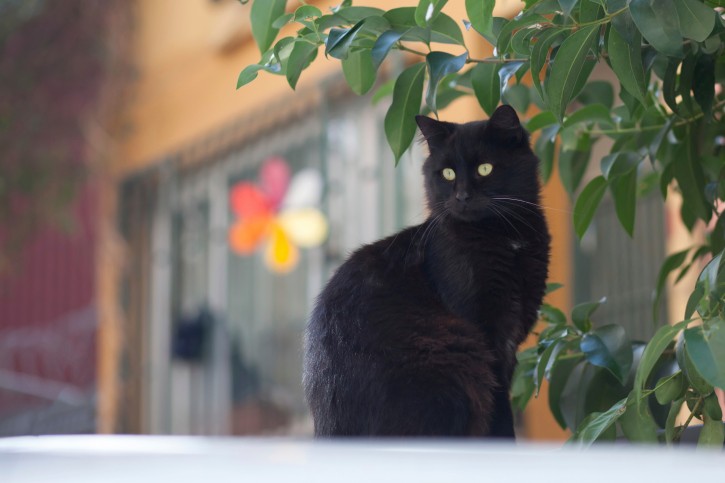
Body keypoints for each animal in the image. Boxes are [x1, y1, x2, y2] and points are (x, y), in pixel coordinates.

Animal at [304, 106, 548, 438]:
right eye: (447, 174)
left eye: (485, 168)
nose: (462, 196)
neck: (504, 236)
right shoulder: (487, 334)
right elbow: (500, 410)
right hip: (455, 364)